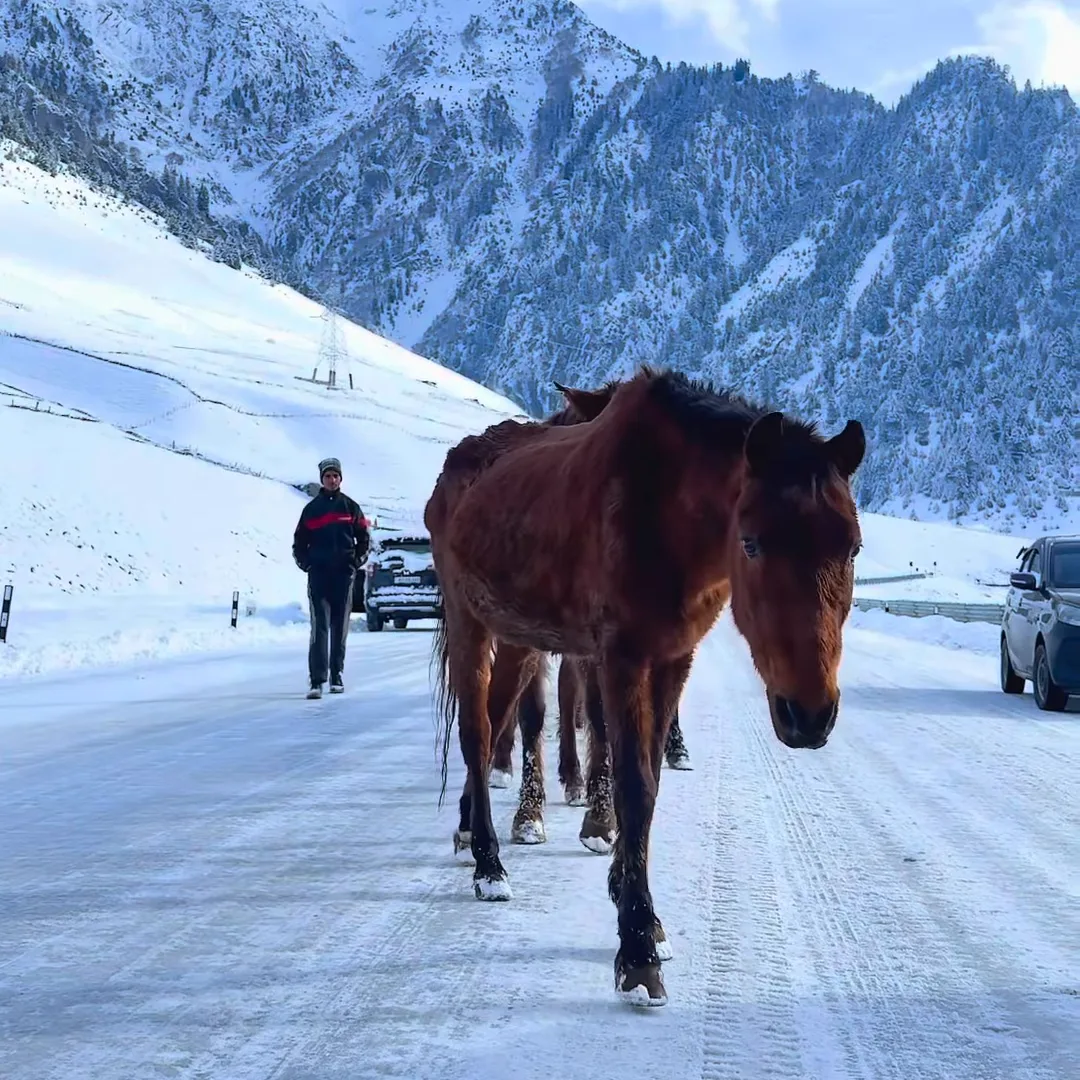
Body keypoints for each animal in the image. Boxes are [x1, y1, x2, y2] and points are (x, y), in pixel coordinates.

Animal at [424, 366, 865, 1007]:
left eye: (852, 546)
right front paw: (635, 949)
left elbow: (650, 784)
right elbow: (631, 781)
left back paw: (470, 832)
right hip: (468, 623)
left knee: (501, 718)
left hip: (518, 637)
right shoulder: (622, 656)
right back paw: (489, 864)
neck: (665, 513)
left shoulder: (673, 658)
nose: (807, 715)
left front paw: (646, 921)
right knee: (478, 734)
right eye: (752, 542)